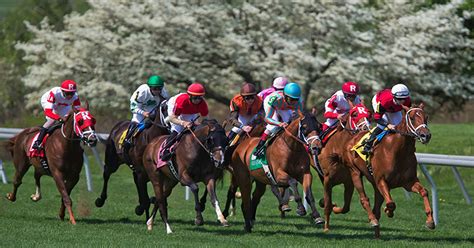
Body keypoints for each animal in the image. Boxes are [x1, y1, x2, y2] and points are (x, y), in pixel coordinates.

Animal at [316, 102, 372, 231]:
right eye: (355, 114)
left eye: (368, 114)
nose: (366, 128)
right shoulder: (328, 179)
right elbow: (327, 204)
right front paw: (326, 228)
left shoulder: (349, 181)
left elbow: (345, 207)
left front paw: (335, 207)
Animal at [340, 103, 434, 238]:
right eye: (411, 118)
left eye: (426, 117)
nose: (425, 135)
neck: (398, 151)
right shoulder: (381, 181)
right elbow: (391, 203)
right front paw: (388, 211)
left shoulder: (408, 182)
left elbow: (424, 192)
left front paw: (430, 221)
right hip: (355, 172)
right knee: (364, 199)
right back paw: (373, 220)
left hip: (374, 183)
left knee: (376, 207)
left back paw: (377, 233)